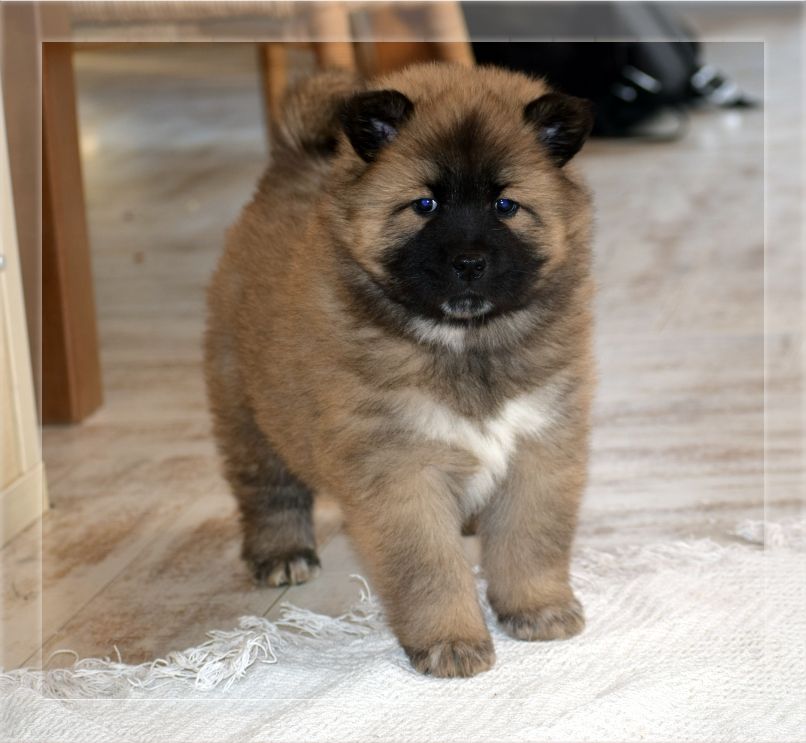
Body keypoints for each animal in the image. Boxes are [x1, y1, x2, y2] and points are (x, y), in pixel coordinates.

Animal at [204, 63, 595, 678]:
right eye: (425, 205)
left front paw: (538, 607)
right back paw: (283, 553)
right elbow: (430, 570)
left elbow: (531, 541)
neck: (464, 343)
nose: (468, 263)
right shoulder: (399, 470)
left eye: (505, 206)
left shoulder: (540, 447)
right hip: (247, 407)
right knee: (267, 488)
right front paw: (452, 641)